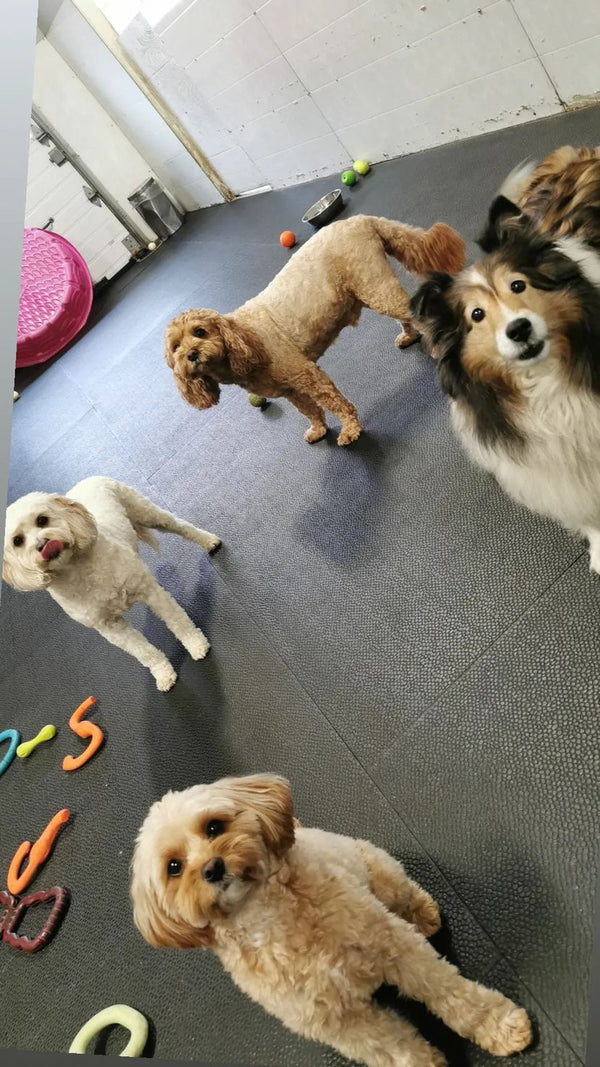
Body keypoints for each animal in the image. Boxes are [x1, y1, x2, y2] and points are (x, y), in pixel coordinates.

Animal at [1, 478, 220, 691]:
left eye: (42, 520)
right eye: (17, 541)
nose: (42, 545)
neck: (77, 570)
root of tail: (83, 481)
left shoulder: (150, 592)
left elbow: (178, 621)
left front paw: (195, 644)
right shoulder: (111, 628)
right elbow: (143, 652)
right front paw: (163, 674)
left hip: (147, 513)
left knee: (180, 525)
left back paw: (209, 541)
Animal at [131, 776, 531, 1067]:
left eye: (214, 827)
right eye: (173, 867)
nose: (213, 868)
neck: (266, 916)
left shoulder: (397, 948)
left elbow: (451, 992)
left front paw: (499, 1026)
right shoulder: (338, 1023)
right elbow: (393, 1048)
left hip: (380, 871)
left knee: (406, 895)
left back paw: (424, 914)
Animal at [165, 212, 465, 446]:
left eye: (200, 332)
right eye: (175, 347)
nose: (191, 355)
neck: (245, 338)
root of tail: (359, 220)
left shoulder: (307, 375)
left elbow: (335, 403)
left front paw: (350, 429)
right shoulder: (292, 390)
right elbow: (309, 410)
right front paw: (319, 429)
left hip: (376, 287)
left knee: (416, 313)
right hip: (371, 288)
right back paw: (409, 336)